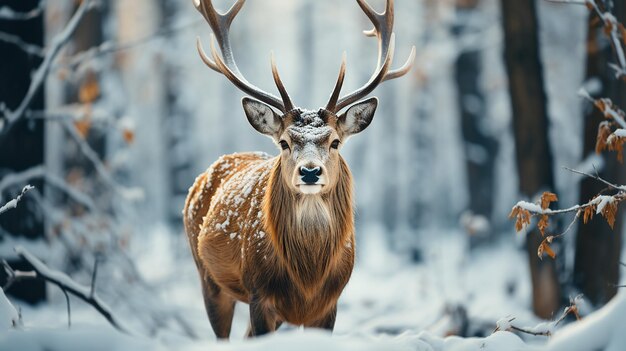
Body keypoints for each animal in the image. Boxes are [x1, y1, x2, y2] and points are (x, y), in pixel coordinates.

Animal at [183, 0, 412, 340]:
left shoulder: (329, 304)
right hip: (208, 277)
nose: (310, 172)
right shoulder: (259, 293)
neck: (308, 278)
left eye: (334, 142)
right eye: (284, 142)